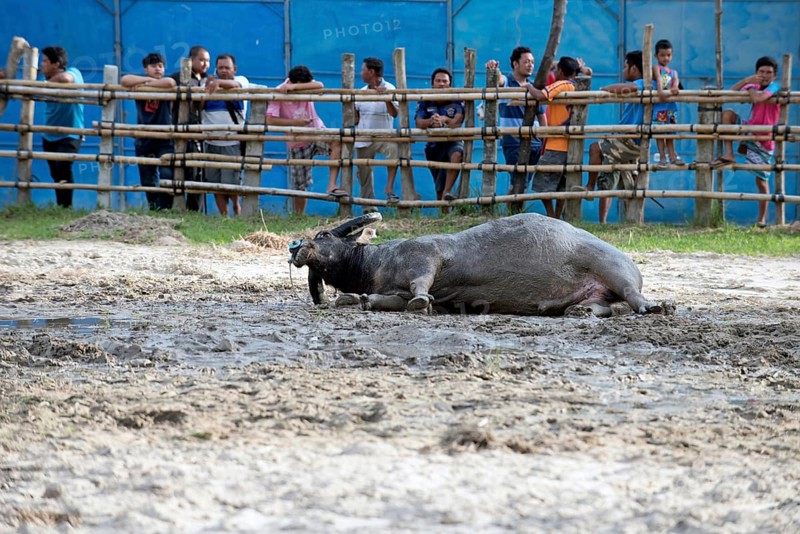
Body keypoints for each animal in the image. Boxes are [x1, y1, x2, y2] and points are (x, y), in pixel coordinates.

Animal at [288, 212, 666, 317]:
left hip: (614, 268)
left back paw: (656, 306)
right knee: (606, 305)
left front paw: (419, 301)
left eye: (323, 234)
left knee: (631, 296)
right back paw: (582, 311)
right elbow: (384, 300)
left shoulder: (427, 256)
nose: (296, 245)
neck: (378, 261)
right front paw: (356, 299)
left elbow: (420, 287)